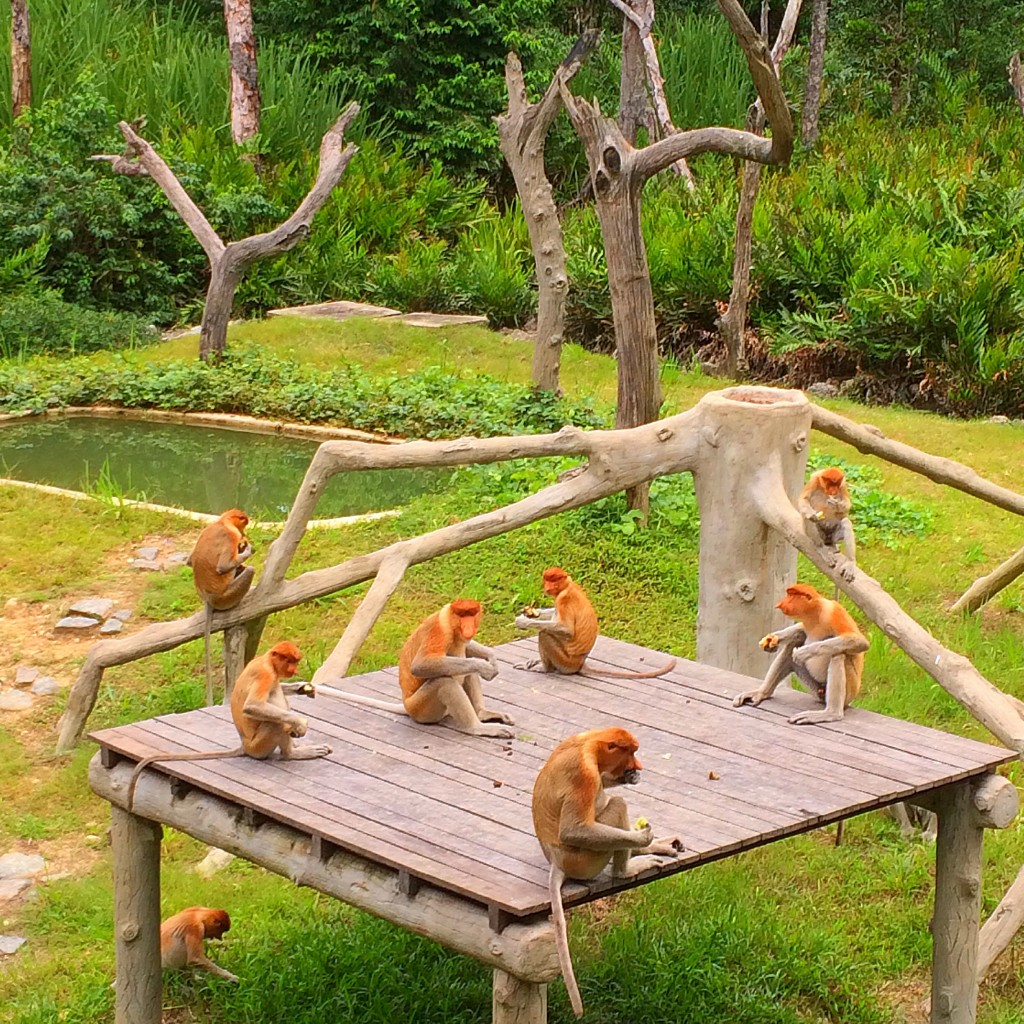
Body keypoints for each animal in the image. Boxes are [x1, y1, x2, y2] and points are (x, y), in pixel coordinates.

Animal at [124, 638, 329, 815]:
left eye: (296, 661)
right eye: (289, 661)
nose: (294, 669)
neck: (267, 661)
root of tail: (244, 746)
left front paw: (302, 688)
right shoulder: (266, 674)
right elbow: (252, 706)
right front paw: (300, 723)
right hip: (259, 745)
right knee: (274, 721)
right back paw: (292, 752)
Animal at [190, 503, 258, 704]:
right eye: (243, 523)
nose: (244, 533)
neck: (222, 522)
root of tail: (208, 598)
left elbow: (189, 561)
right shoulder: (231, 536)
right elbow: (223, 566)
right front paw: (247, 549)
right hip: (225, 597)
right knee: (248, 570)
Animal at [516, 569, 675, 679]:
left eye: (553, 580)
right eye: (547, 580)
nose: (547, 587)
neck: (567, 585)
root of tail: (580, 663)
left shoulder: (563, 599)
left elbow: (566, 629)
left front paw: (524, 621)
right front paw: (529, 613)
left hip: (565, 662)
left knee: (544, 634)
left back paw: (544, 668)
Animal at [532, 729, 684, 1015]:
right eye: (631, 751)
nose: (637, 767)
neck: (589, 743)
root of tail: (557, 861)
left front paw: (630, 779)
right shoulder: (584, 773)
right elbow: (574, 829)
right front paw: (642, 838)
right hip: (585, 859)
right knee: (617, 805)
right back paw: (628, 866)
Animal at [733, 585, 868, 729]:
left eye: (792, 595)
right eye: (788, 594)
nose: (780, 604)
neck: (815, 613)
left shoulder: (833, 612)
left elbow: (860, 641)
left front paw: (803, 652)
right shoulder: (807, 621)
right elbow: (800, 629)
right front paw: (772, 639)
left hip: (849, 692)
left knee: (838, 654)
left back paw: (831, 713)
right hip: (815, 688)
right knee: (793, 644)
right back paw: (762, 693)